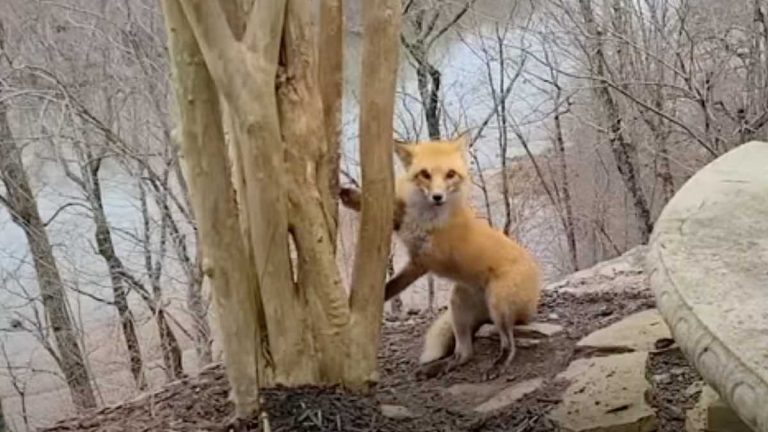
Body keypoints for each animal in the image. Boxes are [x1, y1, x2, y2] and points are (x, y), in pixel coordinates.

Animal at [339, 133, 541, 377]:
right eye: (424, 174)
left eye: (450, 174)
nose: (438, 197)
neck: (424, 213)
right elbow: (393, 209)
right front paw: (350, 195)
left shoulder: (424, 258)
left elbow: (394, 283)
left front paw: (380, 296)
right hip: (458, 309)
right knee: (464, 354)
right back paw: (440, 367)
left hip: (499, 304)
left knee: (509, 343)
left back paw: (500, 363)